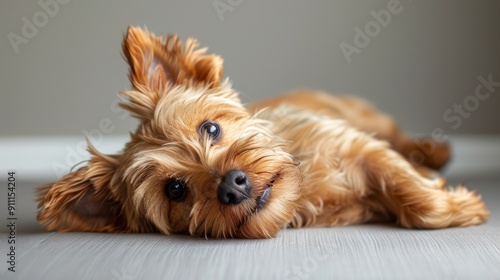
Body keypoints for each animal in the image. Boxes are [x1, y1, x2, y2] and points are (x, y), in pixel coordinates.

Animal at [35, 26, 488, 238]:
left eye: (211, 128)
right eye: (175, 189)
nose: (231, 186)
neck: (302, 193)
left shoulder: (355, 144)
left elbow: (407, 187)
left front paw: (456, 206)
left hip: (368, 117)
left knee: (401, 137)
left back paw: (433, 152)